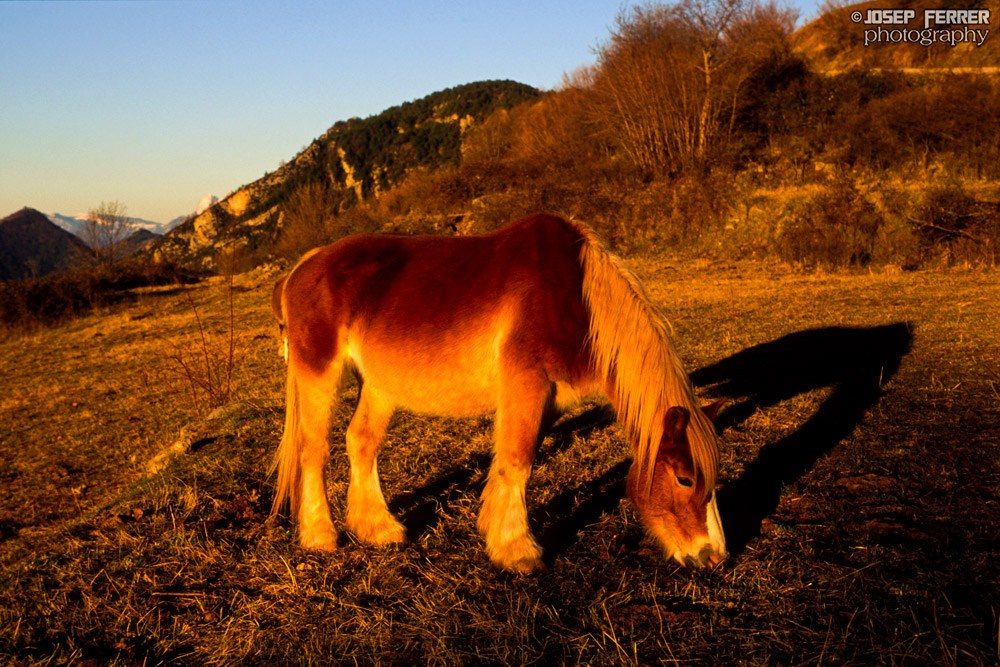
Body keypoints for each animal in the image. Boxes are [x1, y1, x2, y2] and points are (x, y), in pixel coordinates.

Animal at [269, 213, 726, 573]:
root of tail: (303, 267)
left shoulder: (547, 401)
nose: (714, 557)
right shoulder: (526, 385)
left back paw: (379, 528)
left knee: (361, 442)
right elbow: (517, 461)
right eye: (684, 479)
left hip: (379, 385)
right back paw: (320, 535)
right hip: (318, 374)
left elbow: (516, 461)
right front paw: (517, 550)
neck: (573, 298)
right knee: (313, 450)